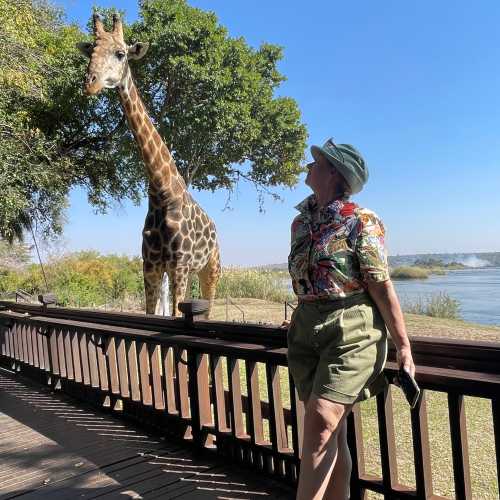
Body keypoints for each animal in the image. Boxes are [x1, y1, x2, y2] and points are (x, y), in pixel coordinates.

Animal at [77, 14, 220, 316]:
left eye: (121, 53)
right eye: (91, 51)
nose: (90, 83)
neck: (161, 193)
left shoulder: (179, 266)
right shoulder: (150, 267)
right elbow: (152, 315)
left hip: (210, 268)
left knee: (209, 308)